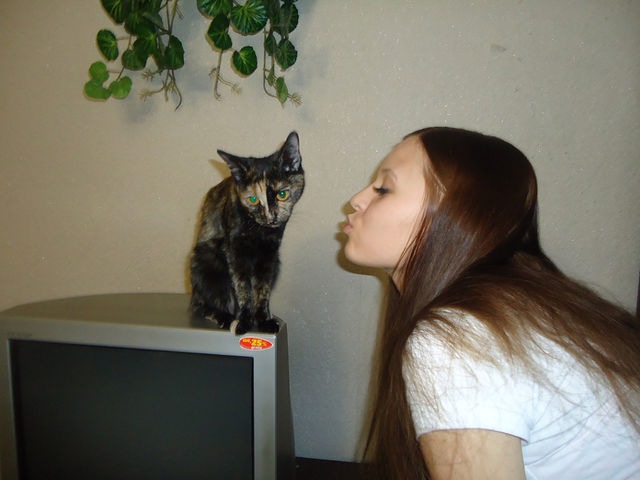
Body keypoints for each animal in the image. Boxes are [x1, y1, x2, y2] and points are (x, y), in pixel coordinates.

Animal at [189, 131, 304, 335]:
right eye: (252, 199)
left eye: (282, 194)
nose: (271, 217)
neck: (259, 231)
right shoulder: (234, 251)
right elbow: (242, 288)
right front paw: (243, 321)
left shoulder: (270, 254)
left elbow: (262, 289)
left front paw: (264, 319)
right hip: (205, 261)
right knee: (203, 305)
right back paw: (224, 317)